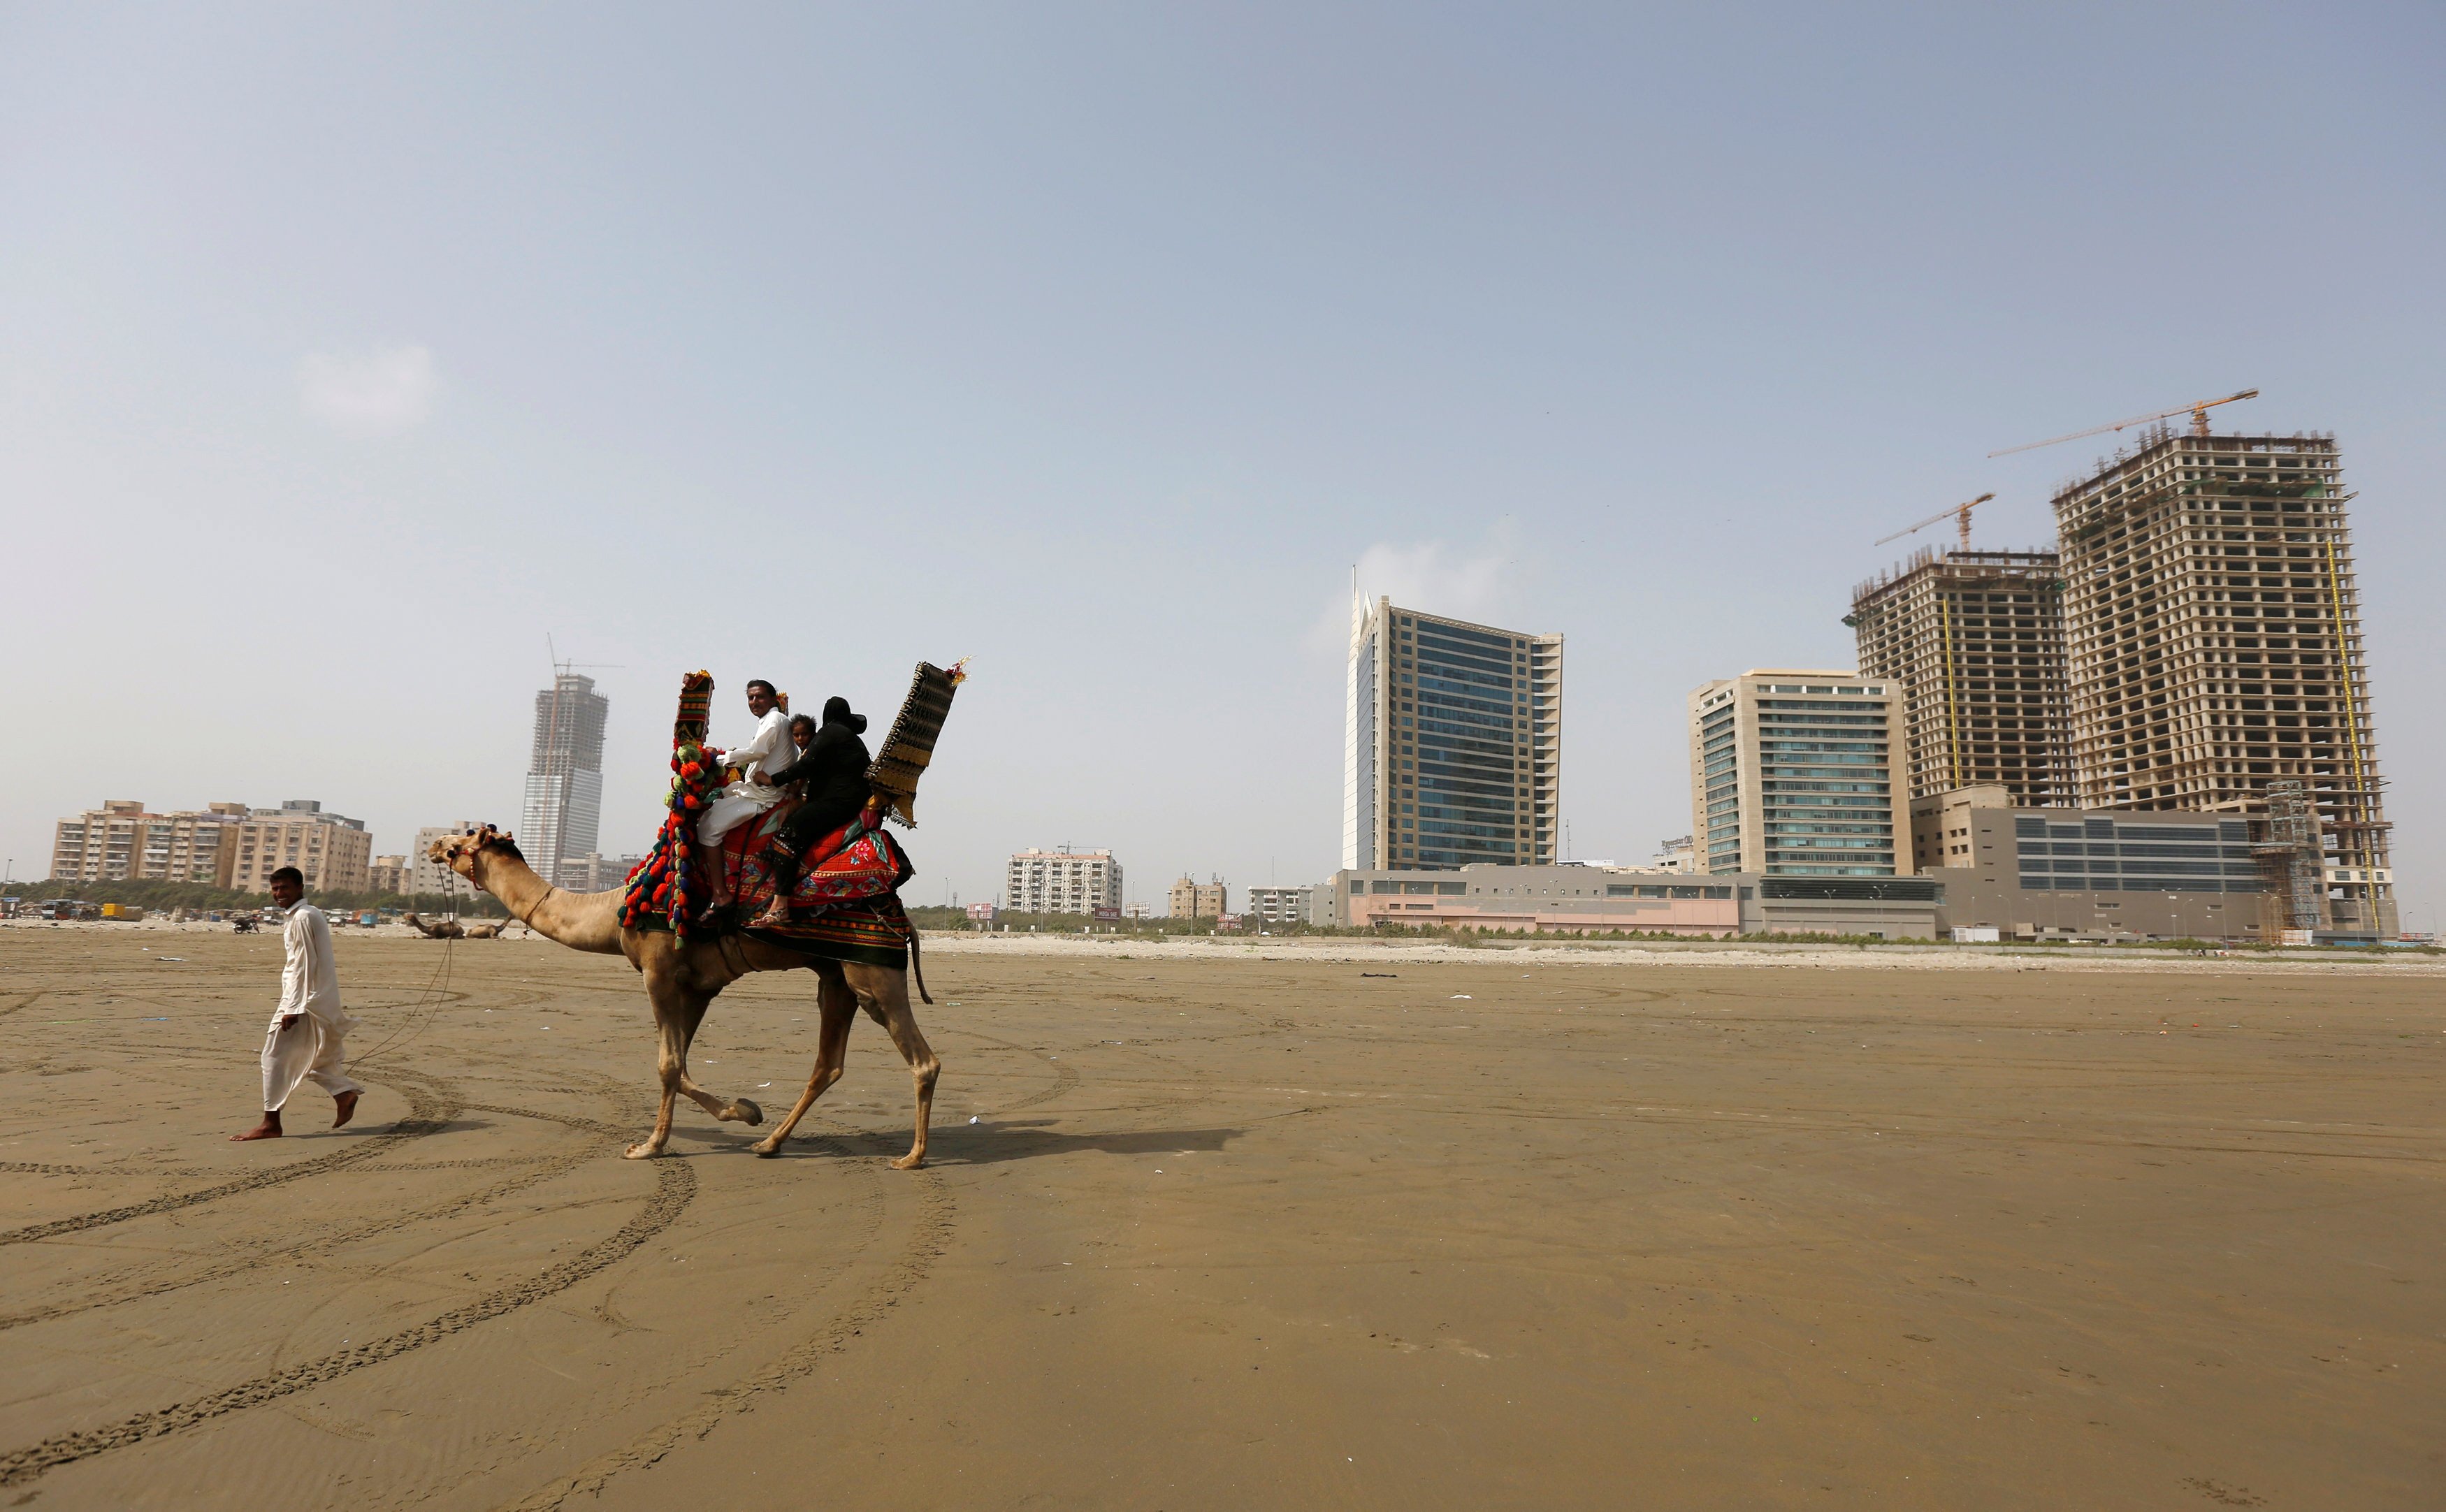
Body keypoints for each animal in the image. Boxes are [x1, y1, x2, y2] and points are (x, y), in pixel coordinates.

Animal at [426, 822, 939, 1164]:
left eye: (459, 841)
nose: (431, 845)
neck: (613, 910)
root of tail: (901, 913)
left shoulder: (658, 972)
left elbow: (667, 1065)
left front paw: (648, 1147)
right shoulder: (699, 985)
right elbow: (682, 1064)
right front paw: (745, 1111)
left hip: (870, 972)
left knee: (923, 1059)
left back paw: (912, 1156)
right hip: (835, 978)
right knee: (828, 1064)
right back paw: (769, 1141)